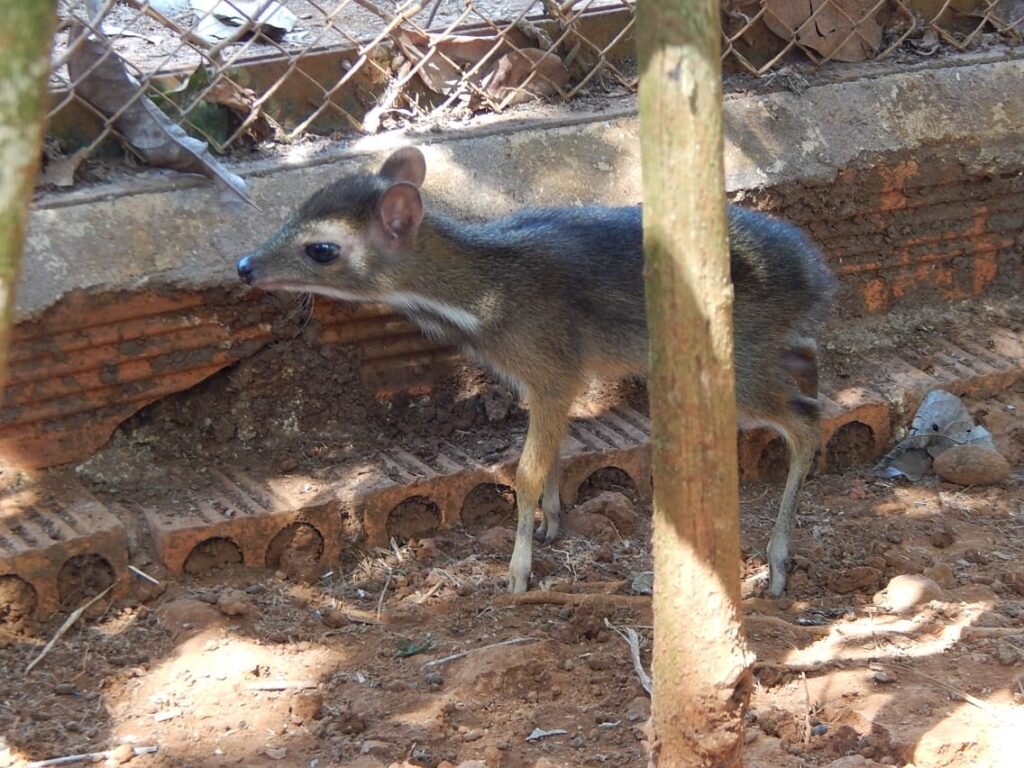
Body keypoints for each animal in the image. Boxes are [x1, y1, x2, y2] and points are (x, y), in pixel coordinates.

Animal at [237, 147, 831, 598]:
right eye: (301, 204)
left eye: (321, 248)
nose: (244, 266)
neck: (487, 299)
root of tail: (815, 274)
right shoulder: (545, 382)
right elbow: (552, 456)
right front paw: (551, 523)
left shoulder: (551, 370)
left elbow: (522, 471)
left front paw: (518, 572)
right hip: (761, 348)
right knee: (806, 360)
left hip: (735, 361)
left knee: (806, 421)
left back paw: (777, 565)